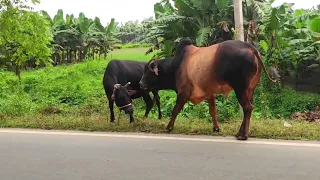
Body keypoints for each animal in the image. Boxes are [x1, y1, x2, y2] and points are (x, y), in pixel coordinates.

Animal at [139, 38, 278, 141]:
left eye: (149, 72)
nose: (140, 84)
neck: (177, 65)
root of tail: (250, 47)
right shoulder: (210, 94)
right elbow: (213, 111)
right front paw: (216, 128)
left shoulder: (183, 92)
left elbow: (175, 110)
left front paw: (169, 127)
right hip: (250, 90)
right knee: (248, 108)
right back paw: (239, 133)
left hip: (239, 88)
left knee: (248, 107)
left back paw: (243, 135)